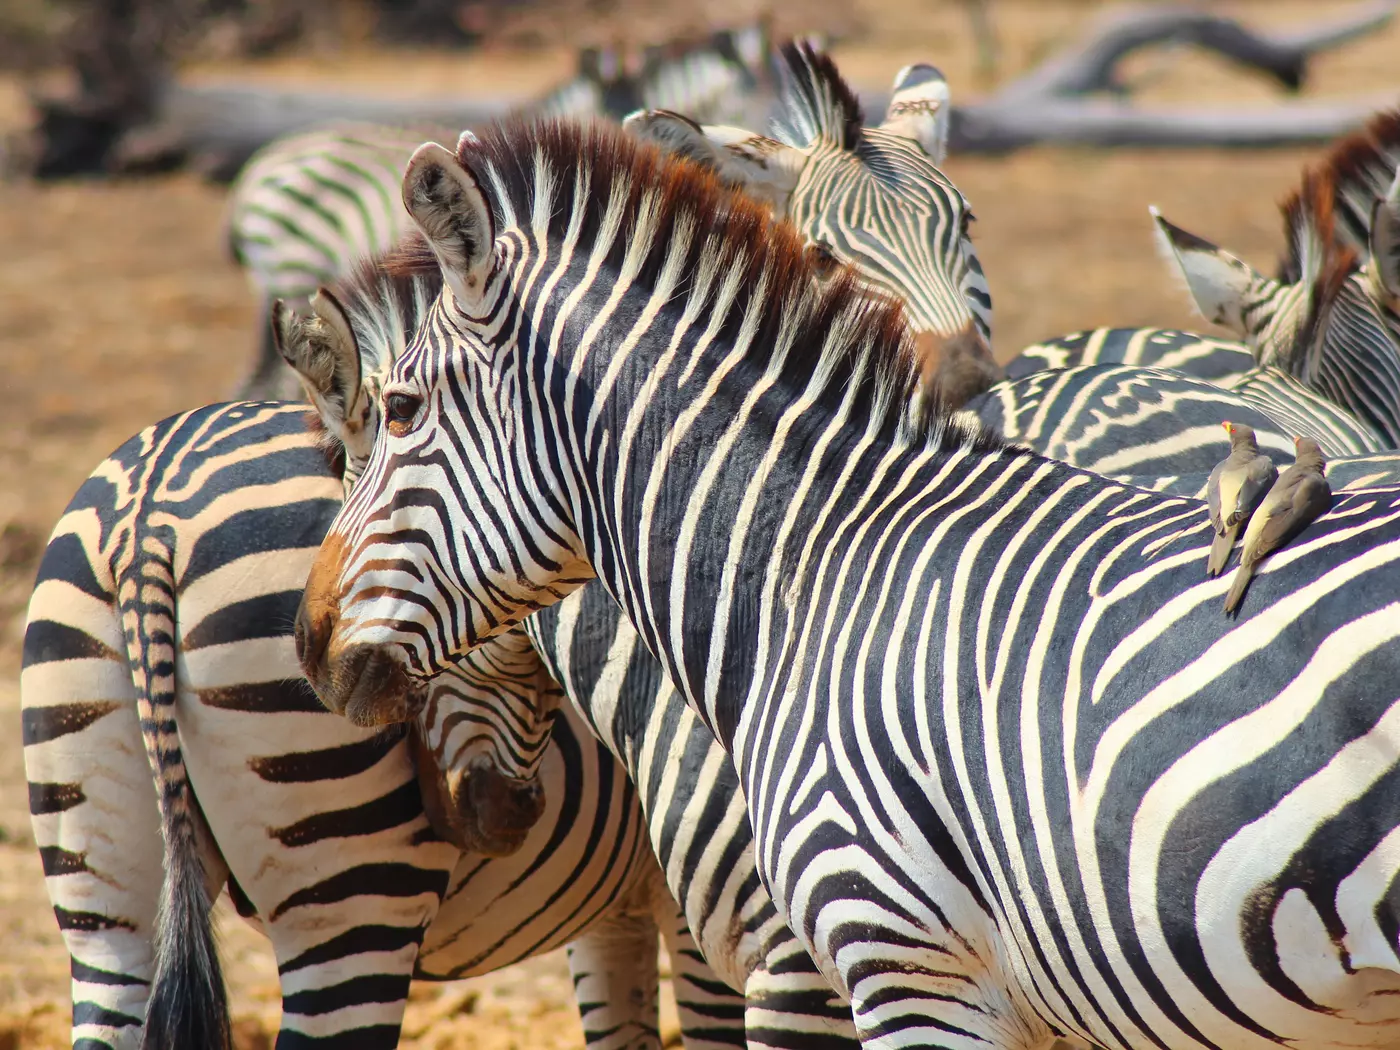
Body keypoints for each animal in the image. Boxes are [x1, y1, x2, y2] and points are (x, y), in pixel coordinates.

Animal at [21, 255, 748, 1049]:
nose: (510, 811)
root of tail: (148, 516)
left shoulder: (618, 911)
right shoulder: (709, 917)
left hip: (102, 888)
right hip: (353, 891)